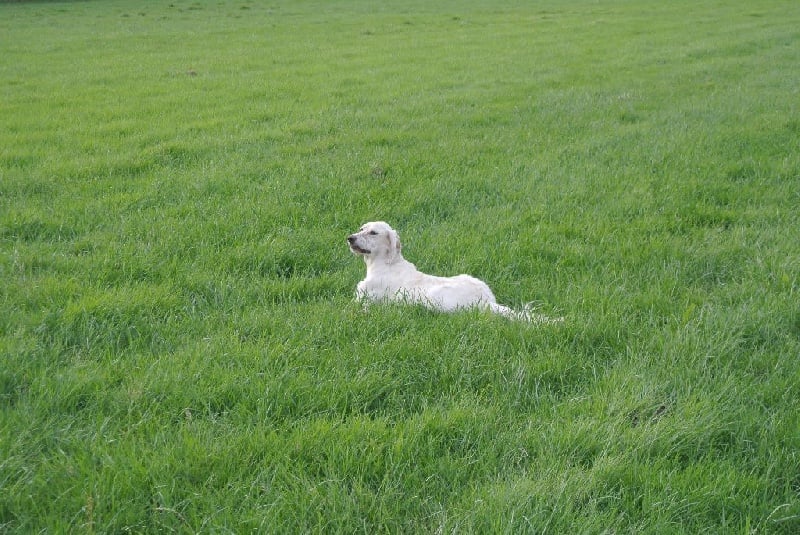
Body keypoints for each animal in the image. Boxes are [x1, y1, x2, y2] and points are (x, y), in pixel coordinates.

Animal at [346, 221, 564, 324]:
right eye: (361, 228)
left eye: (373, 232)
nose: (350, 238)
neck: (385, 263)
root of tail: (487, 301)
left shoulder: (362, 299)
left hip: (436, 299)